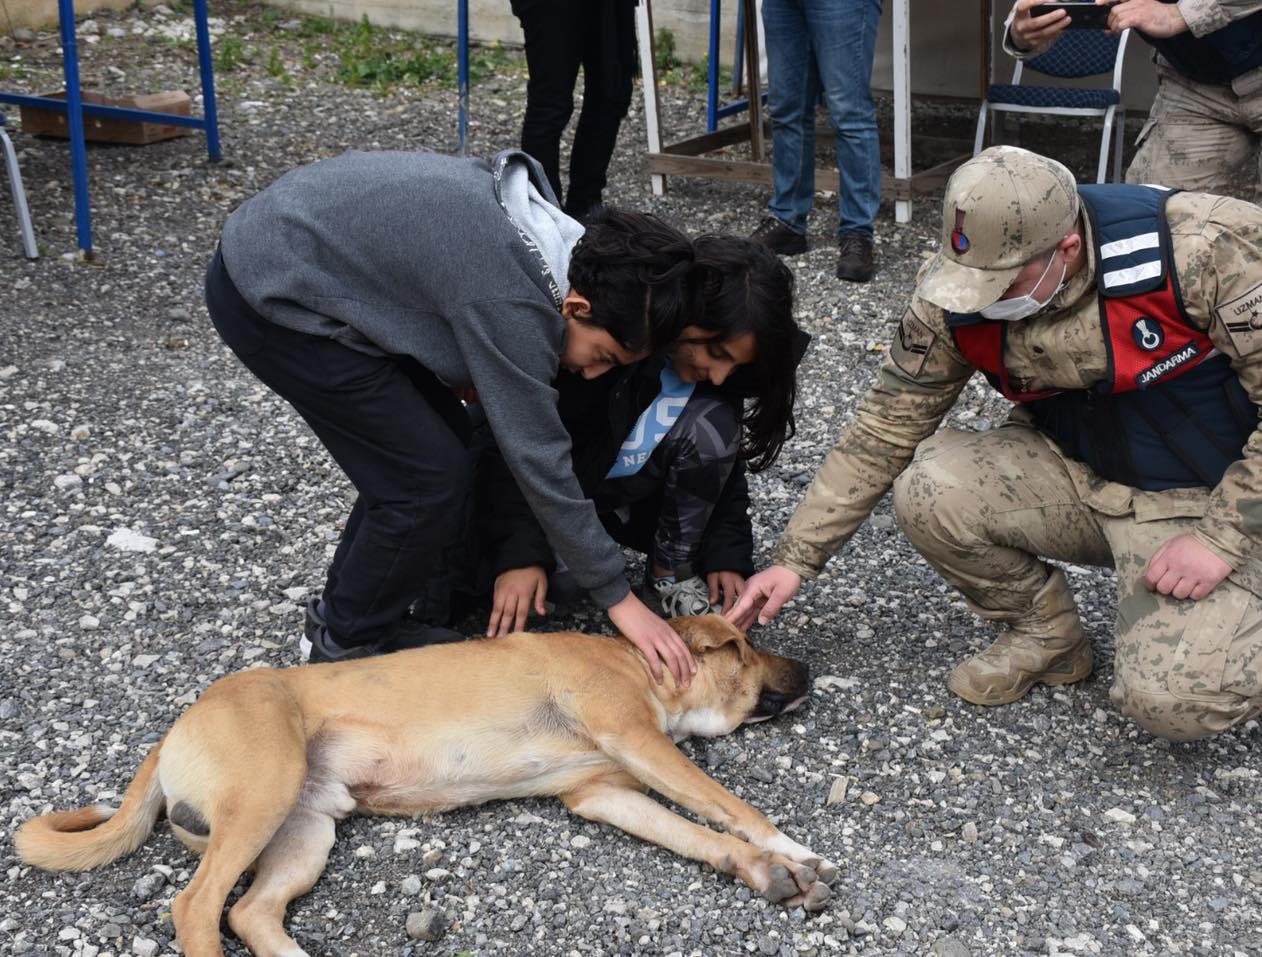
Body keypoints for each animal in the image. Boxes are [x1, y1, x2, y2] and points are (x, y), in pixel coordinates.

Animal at [17, 613, 837, 957]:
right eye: (748, 645)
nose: (810, 672)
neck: (642, 664)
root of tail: (178, 724)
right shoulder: (637, 738)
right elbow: (727, 803)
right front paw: (791, 846)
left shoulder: (608, 791)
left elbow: (696, 831)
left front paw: (765, 869)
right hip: (265, 791)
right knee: (196, 908)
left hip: (303, 832)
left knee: (250, 912)